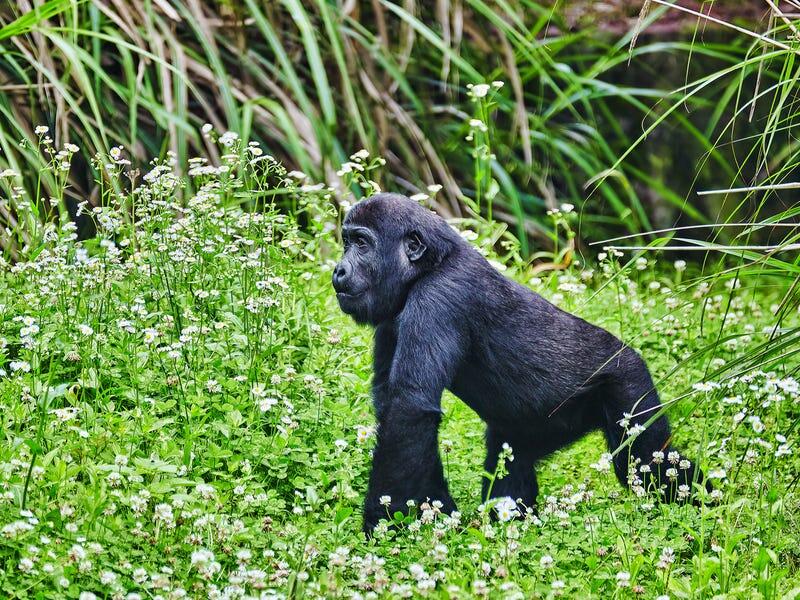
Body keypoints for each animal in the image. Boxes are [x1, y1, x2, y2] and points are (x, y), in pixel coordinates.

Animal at [332, 195, 708, 532]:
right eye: (347, 241)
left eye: (362, 244)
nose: (338, 269)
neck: (432, 262)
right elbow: (398, 413)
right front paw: (434, 507)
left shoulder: (440, 297)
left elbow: (409, 409)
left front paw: (383, 521)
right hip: (535, 430)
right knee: (514, 465)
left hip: (629, 382)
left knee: (647, 461)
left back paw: (704, 503)